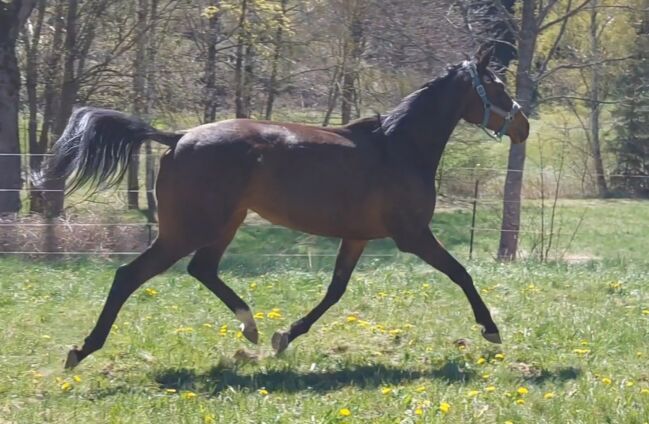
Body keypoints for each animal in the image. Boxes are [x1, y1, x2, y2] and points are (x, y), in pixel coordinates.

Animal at [43, 45, 529, 369]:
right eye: (497, 86)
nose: (523, 125)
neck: (399, 148)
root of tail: (178, 137)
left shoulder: (356, 238)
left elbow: (334, 291)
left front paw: (284, 336)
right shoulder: (412, 235)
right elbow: (461, 273)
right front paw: (491, 329)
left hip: (225, 223)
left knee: (202, 269)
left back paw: (251, 326)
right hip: (188, 229)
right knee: (130, 275)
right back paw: (81, 350)